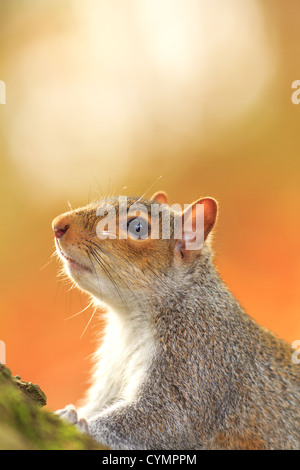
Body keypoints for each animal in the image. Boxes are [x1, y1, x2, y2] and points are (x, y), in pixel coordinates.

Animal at [52, 193, 298, 450]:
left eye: (137, 227)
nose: (58, 225)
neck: (130, 320)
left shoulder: (199, 354)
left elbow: (169, 418)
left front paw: (79, 423)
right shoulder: (112, 369)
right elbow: (101, 402)